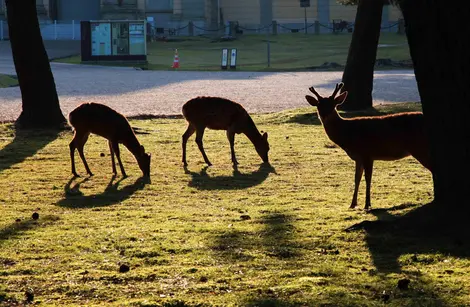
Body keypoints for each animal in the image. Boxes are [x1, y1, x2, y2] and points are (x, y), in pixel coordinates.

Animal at [304, 83, 434, 211]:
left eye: (333, 105)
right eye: (319, 105)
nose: (324, 115)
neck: (347, 134)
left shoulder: (367, 153)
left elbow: (368, 178)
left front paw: (367, 205)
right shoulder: (358, 157)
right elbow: (357, 178)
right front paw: (352, 204)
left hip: (420, 147)